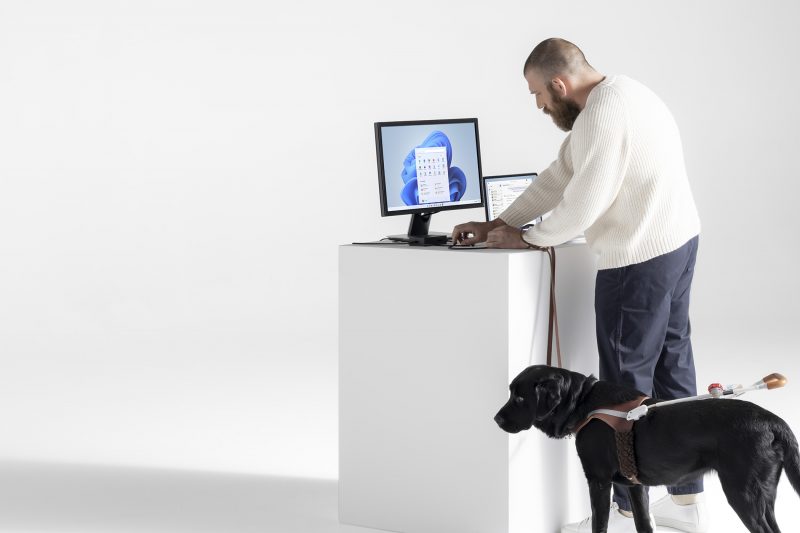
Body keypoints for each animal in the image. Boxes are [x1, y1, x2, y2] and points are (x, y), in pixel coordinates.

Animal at [494, 364, 800, 532]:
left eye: (519, 397)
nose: (496, 419)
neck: (584, 401)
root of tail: (774, 422)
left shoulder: (598, 481)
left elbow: (599, 524)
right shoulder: (636, 486)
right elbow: (643, 523)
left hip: (744, 494)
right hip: (765, 497)